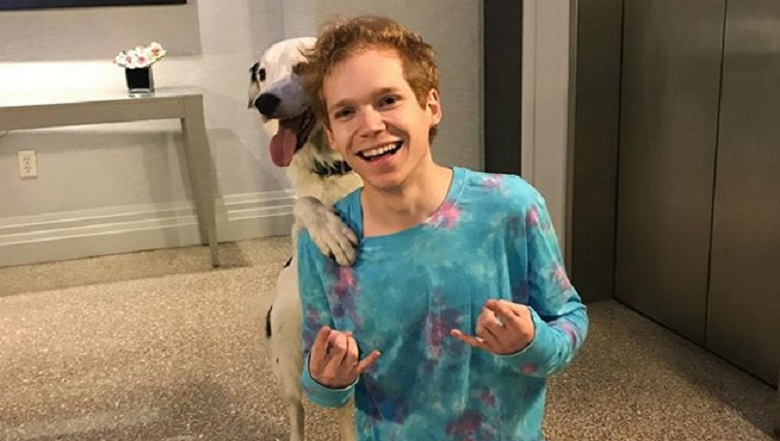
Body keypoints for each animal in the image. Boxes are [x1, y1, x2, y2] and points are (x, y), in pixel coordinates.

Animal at [248, 37, 363, 441]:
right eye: (262, 73)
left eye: (302, 67)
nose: (264, 101)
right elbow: (306, 205)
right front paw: (332, 233)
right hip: (288, 362)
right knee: (296, 413)